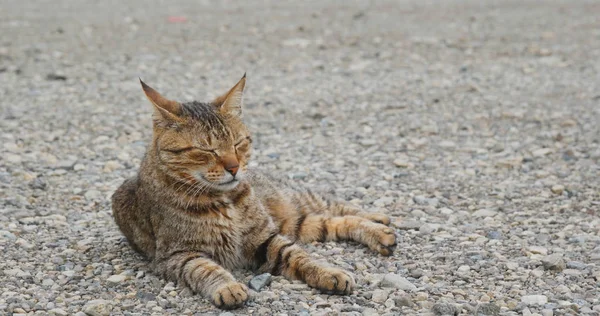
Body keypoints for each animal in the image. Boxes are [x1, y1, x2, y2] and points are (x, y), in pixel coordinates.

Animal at [111, 75, 398, 310]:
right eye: (207, 150)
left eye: (238, 143)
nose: (234, 167)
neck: (224, 201)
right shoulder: (176, 255)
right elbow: (204, 269)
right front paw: (227, 287)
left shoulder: (264, 237)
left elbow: (300, 256)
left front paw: (327, 271)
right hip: (293, 224)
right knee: (332, 221)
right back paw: (380, 232)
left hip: (292, 204)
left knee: (336, 206)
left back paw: (378, 220)